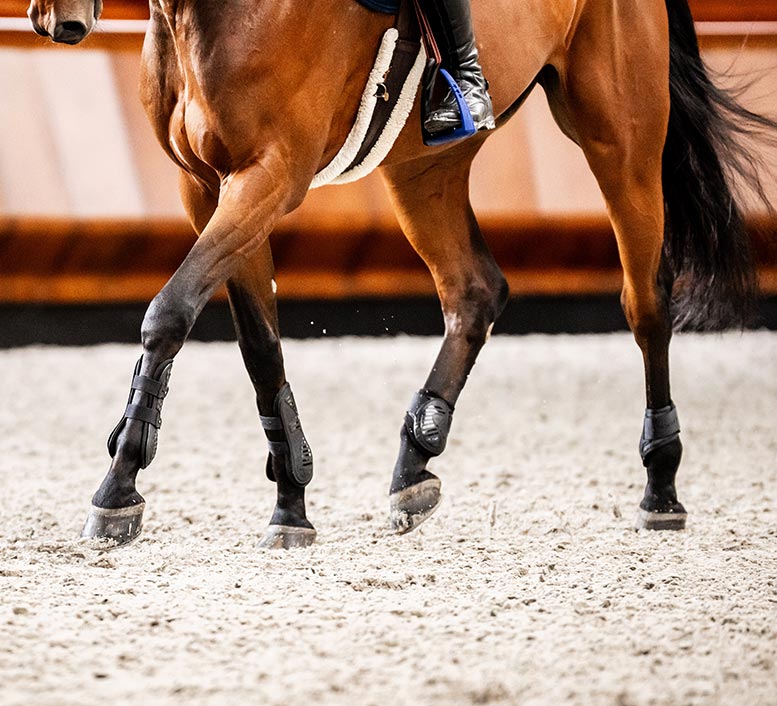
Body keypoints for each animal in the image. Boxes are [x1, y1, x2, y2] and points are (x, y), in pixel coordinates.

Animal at [27, 0, 775, 547]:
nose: (53, 21)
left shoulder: (268, 176)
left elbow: (169, 313)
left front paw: (119, 485)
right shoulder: (207, 187)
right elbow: (258, 346)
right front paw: (291, 497)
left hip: (619, 138)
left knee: (645, 302)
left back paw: (661, 488)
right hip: (424, 165)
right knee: (474, 290)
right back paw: (415, 463)